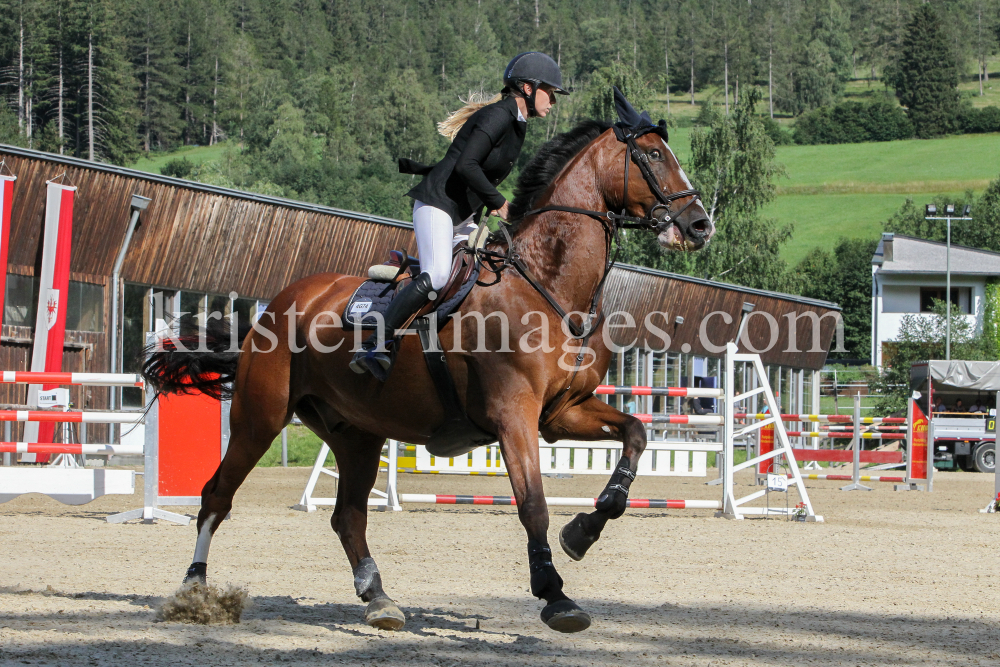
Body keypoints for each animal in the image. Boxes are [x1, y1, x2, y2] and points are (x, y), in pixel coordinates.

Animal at [145, 111, 716, 636]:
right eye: (654, 155)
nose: (699, 225)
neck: (547, 285)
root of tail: (274, 308)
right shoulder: (514, 416)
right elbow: (533, 505)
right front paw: (555, 596)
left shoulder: (561, 413)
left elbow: (636, 434)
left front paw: (583, 532)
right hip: (260, 418)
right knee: (217, 496)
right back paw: (194, 591)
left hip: (357, 433)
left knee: (348, 516)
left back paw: (379, 599)